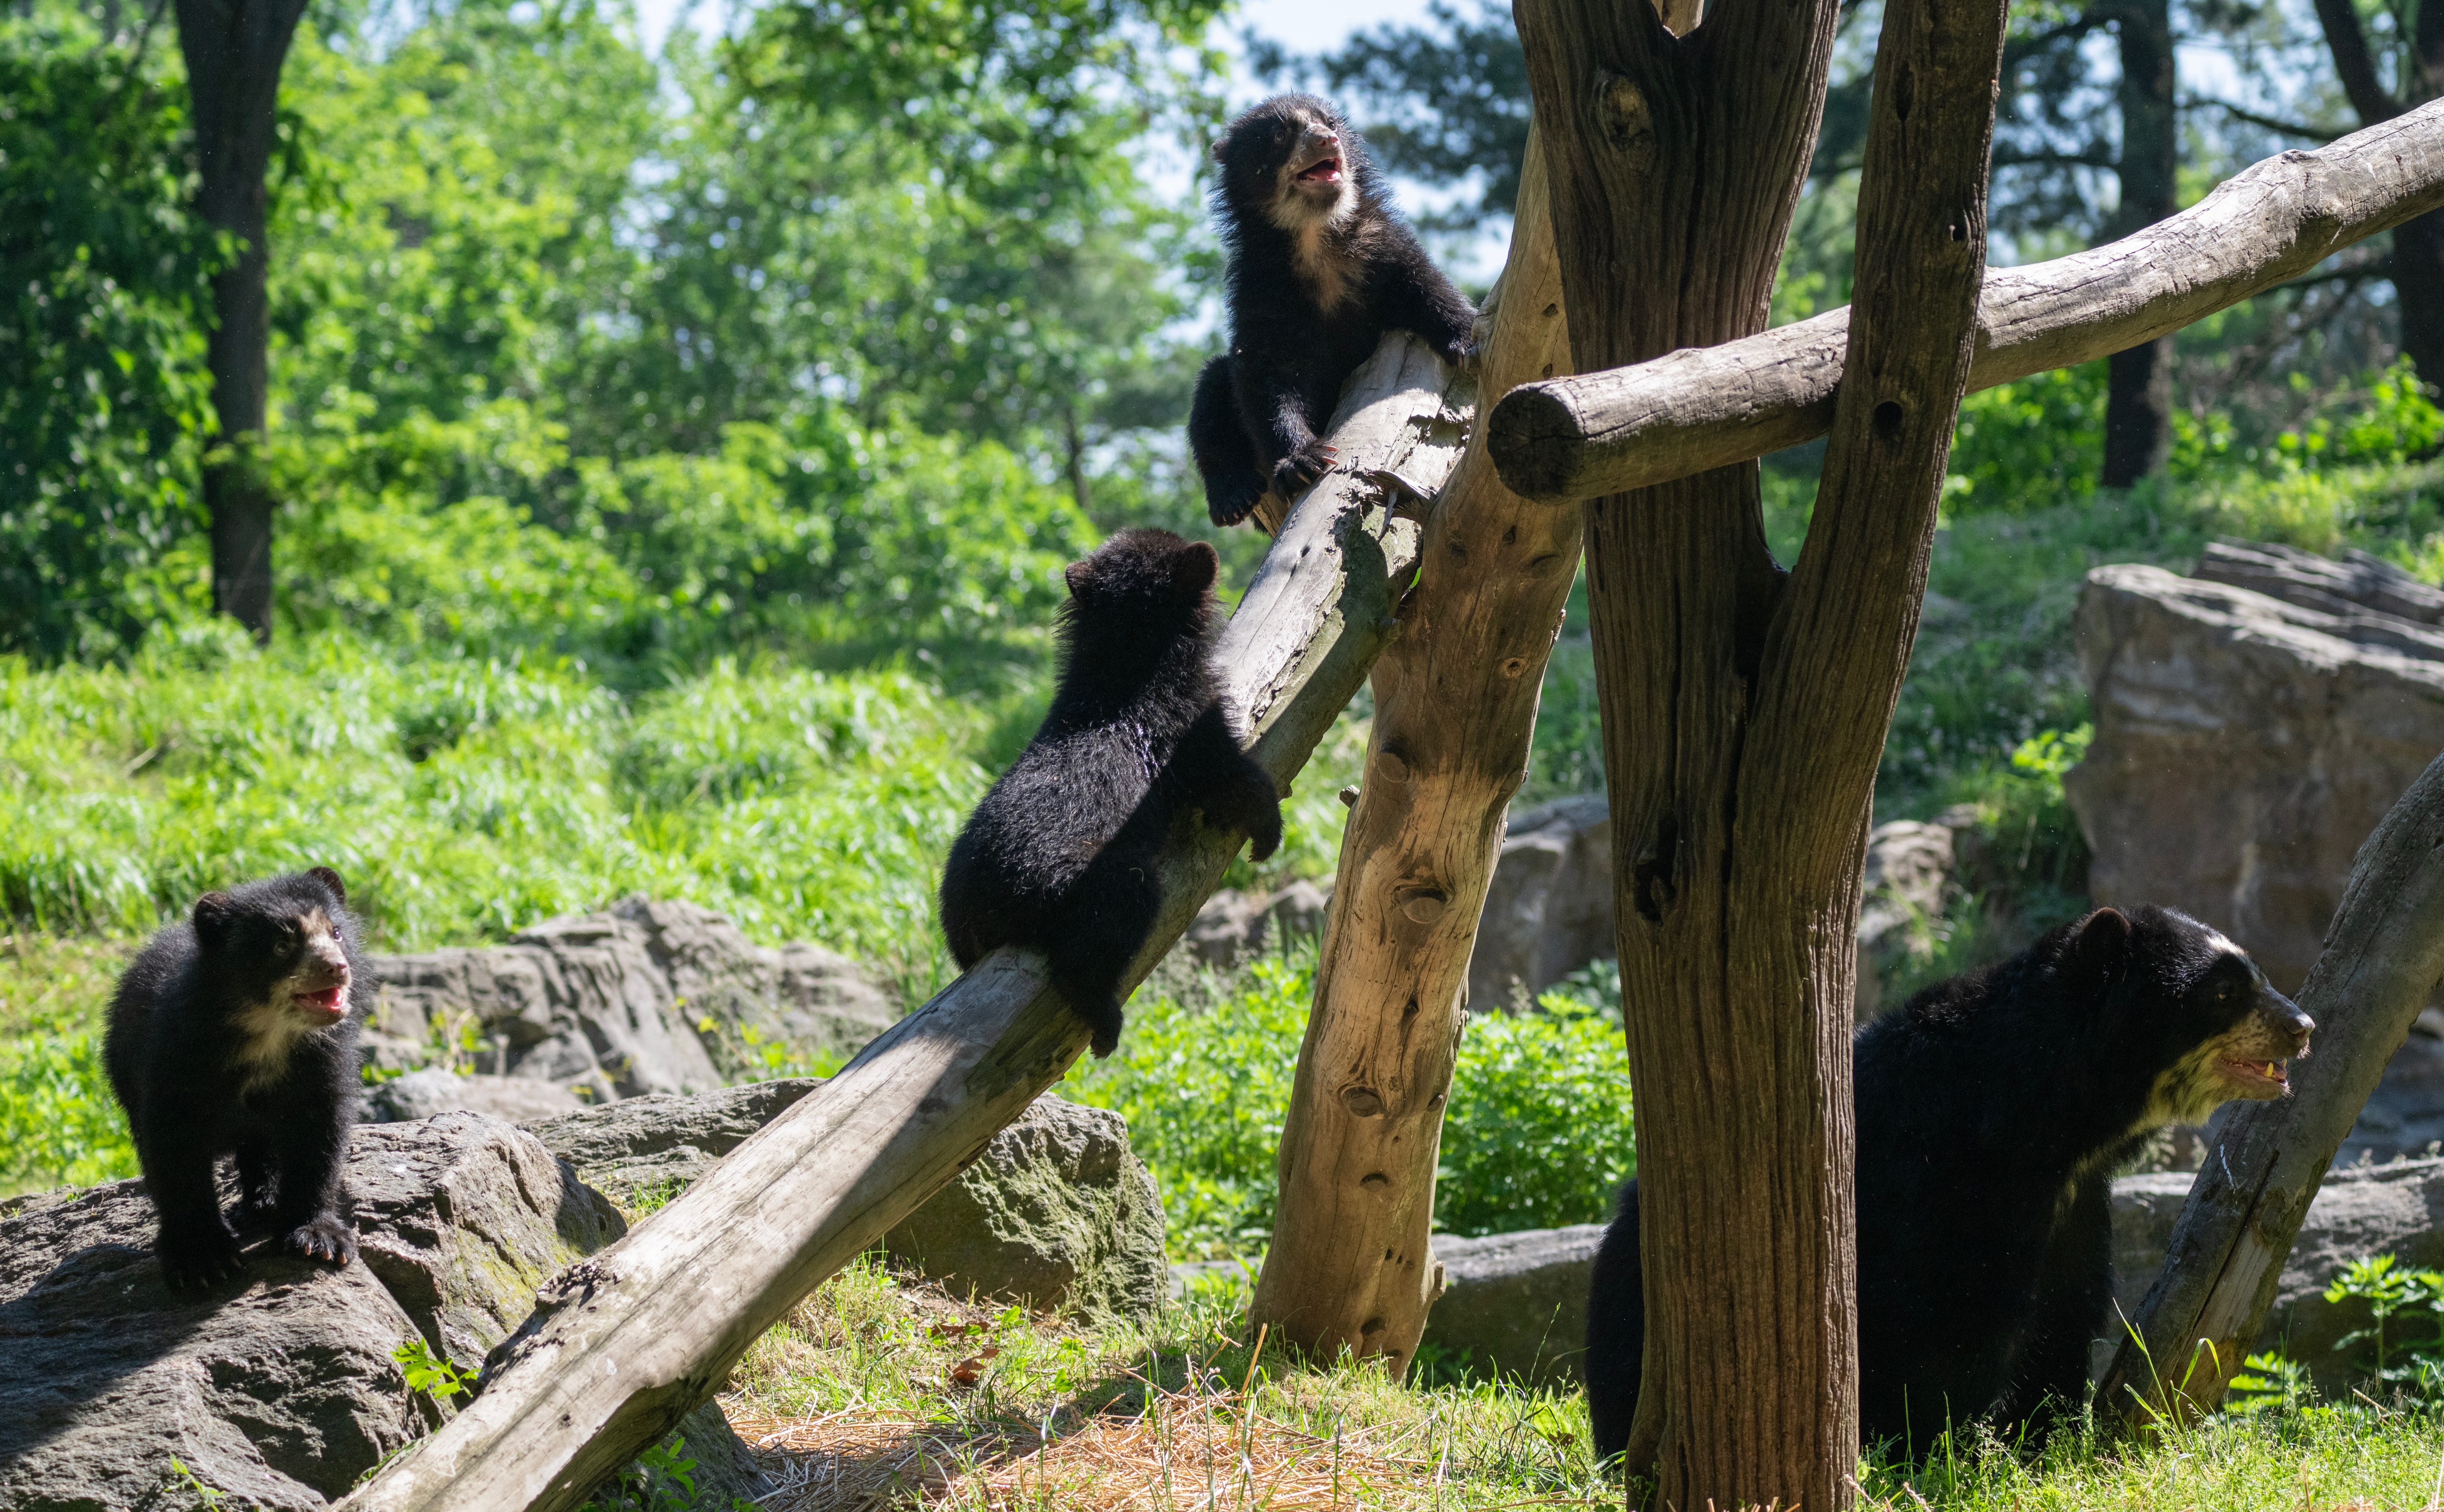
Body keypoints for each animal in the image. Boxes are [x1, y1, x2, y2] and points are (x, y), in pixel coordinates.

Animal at [1584, 904, 2307, 1465]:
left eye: (2256, 975)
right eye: (2222, 992)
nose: (2301, 1026)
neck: (2050, 1118)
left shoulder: (2072, 1203)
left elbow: (2061, 1312)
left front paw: (2034, 1442)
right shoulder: (1942, 1179)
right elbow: (1948, 1321)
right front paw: (1943, 1452)